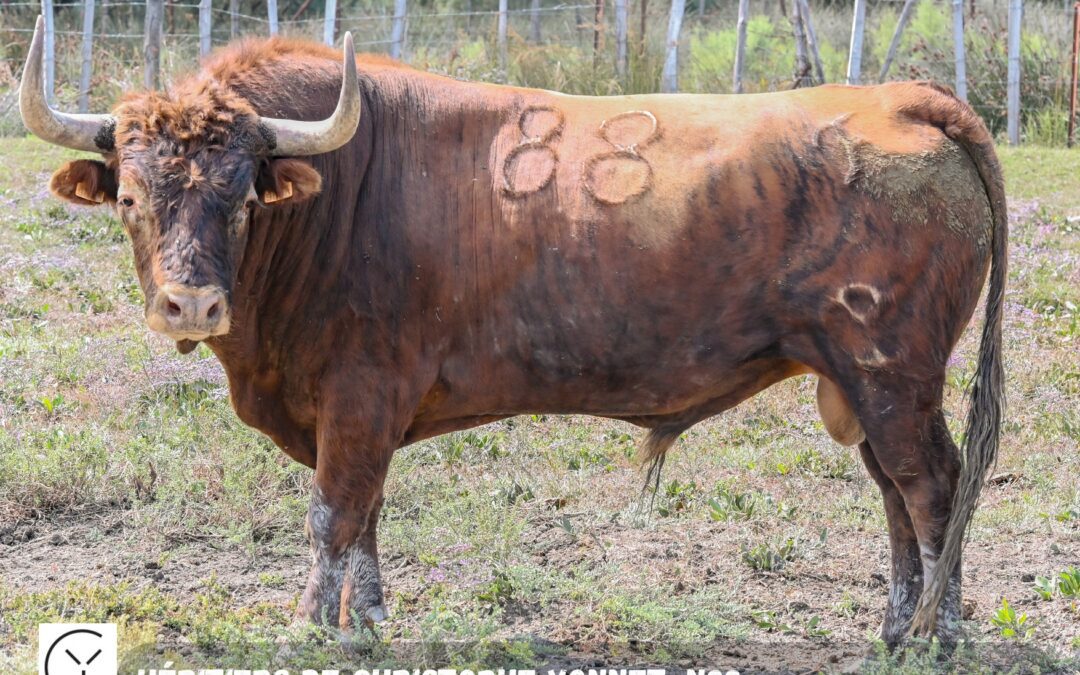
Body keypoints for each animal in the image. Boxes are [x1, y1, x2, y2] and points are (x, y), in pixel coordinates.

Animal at [21, 15, 1002, 643]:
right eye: (131, 196)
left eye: (240, 196)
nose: (189, 304)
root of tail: (900, 97)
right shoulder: (360, 409)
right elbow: (366, 514)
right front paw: (364, 622)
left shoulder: (361, 394)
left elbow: (334, 512)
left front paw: (308, 628)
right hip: (862, 383)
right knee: (895, 492)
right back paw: (894, 626)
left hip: (893, 372)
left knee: (932, 487)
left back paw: (936, 632)